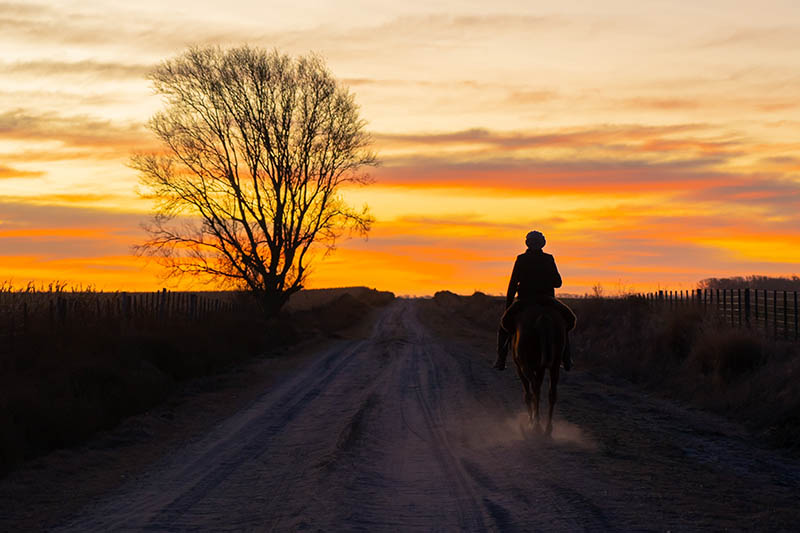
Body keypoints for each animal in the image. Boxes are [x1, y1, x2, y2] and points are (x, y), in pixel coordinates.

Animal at [510, 302, 564, 434]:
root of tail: (543, 318)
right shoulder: (540, 368)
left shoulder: (519, 368)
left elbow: (527, 394)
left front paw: (530, 419)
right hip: (555, 364)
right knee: (551, 392)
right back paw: (548, 427)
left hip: (525, 365)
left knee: (535, 388)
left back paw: (536, 424)